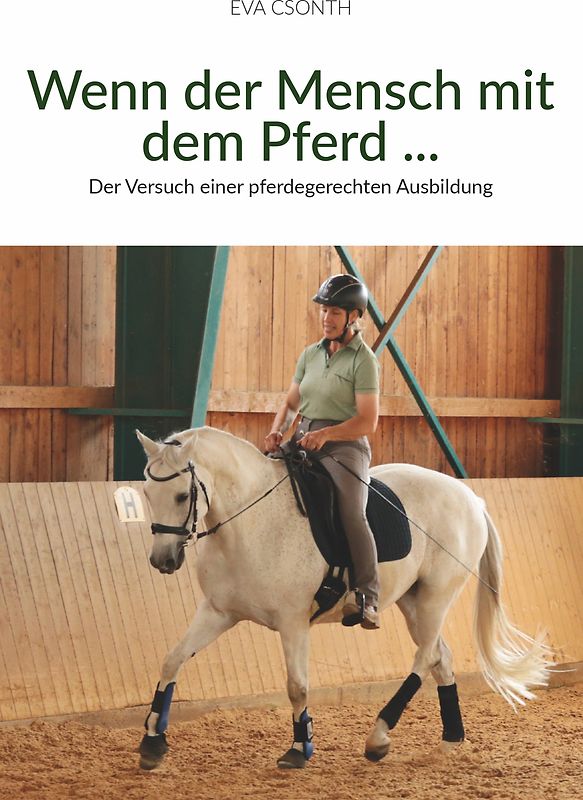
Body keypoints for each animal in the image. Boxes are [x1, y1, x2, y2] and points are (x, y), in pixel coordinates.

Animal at [135, 426, 551, 770]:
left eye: (181, 495)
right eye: (146, 493)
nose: (162, 561)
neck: (250, 522)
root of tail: (470, 497)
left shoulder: (293, 622)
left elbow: (297, 686)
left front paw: (300, 748)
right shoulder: (218, 612)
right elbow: (172, 661)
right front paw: (153, 741)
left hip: (437, 595)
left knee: (425, 657)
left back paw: (378, 737)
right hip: (412, 601)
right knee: (440, 658)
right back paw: (451, 739)